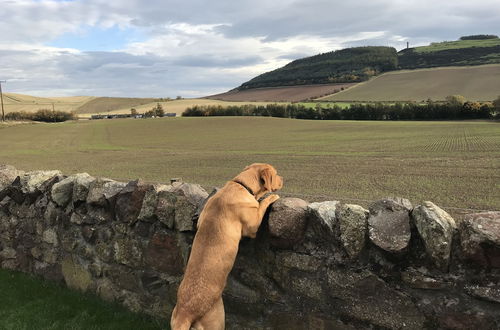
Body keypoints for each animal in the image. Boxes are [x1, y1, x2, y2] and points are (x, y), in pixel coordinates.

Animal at [171, 164, 282, 330]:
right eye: (276, 173)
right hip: (218, 319)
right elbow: (261, 205)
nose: (283, 179)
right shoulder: (253, 225)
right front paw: (271, 197)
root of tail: (185, 314)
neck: (241, 185)